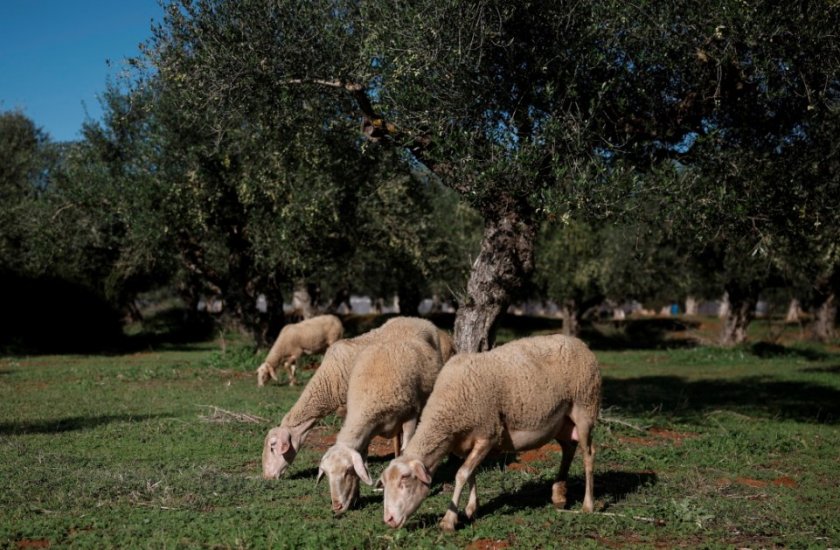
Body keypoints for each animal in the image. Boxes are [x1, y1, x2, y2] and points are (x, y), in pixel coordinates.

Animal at [316, 336, 446, 516]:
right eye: (327, 475)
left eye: (348, 471)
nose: (337, 507)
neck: (367, 402)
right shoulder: (367, 432)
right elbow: (363, 460)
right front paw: (356, 497)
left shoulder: (410, 416)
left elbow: (407, 450)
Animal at [378, 334, 600, 532]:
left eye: (405, 479)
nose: (388, 520)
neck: (447, 410)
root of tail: (580, 343)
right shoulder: (465, 442)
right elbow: (471, 473)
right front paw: (471, 509)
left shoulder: (488, 435)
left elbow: (461, 474)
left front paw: (449, 520)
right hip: (562, 422)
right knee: (568, 449)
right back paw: (559, 495)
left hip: (585, 407)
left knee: (588, 455)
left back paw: (587, 505)